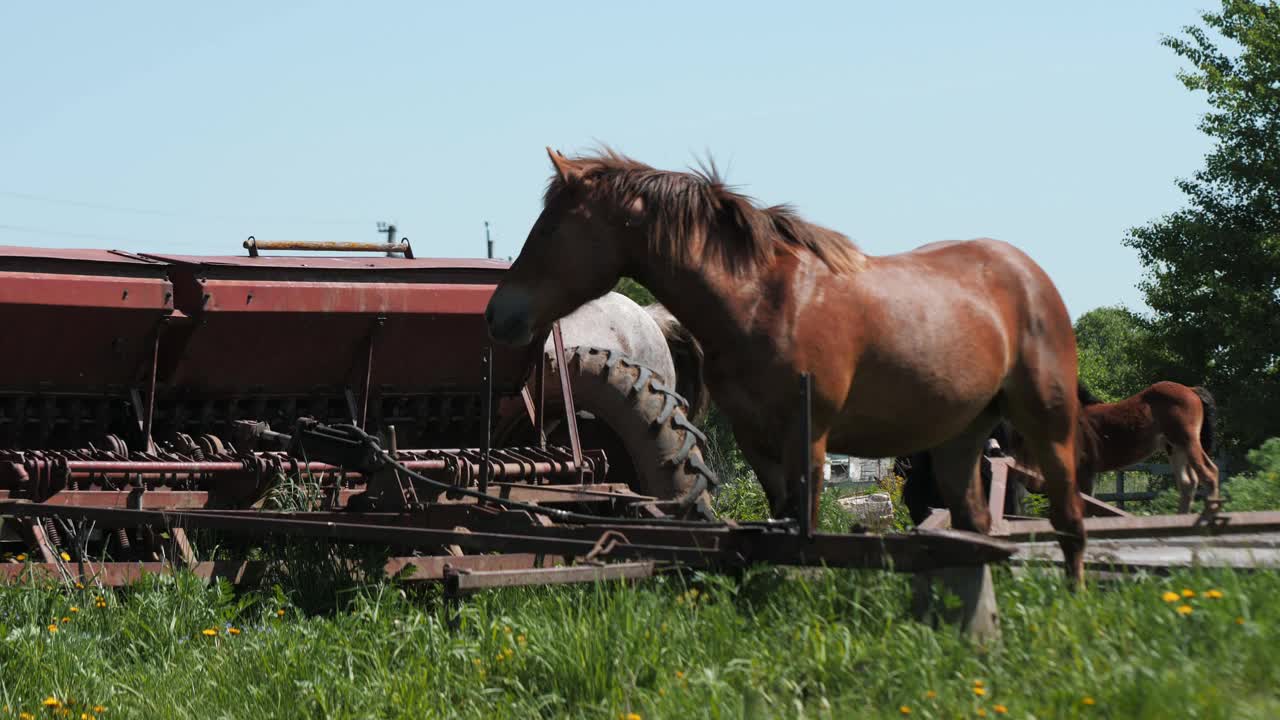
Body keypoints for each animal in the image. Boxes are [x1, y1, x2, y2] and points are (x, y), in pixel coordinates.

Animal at [486, 147, 1090, 584]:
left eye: (550, 229)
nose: (497, 314)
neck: (765, 302)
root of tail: (1027, 272)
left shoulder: (811, 435)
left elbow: (808, 523)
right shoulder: (758, 440)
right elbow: (778, 523)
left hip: (1048, 423)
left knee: (1070, 522)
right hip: (960, 438)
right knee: (976, 527)